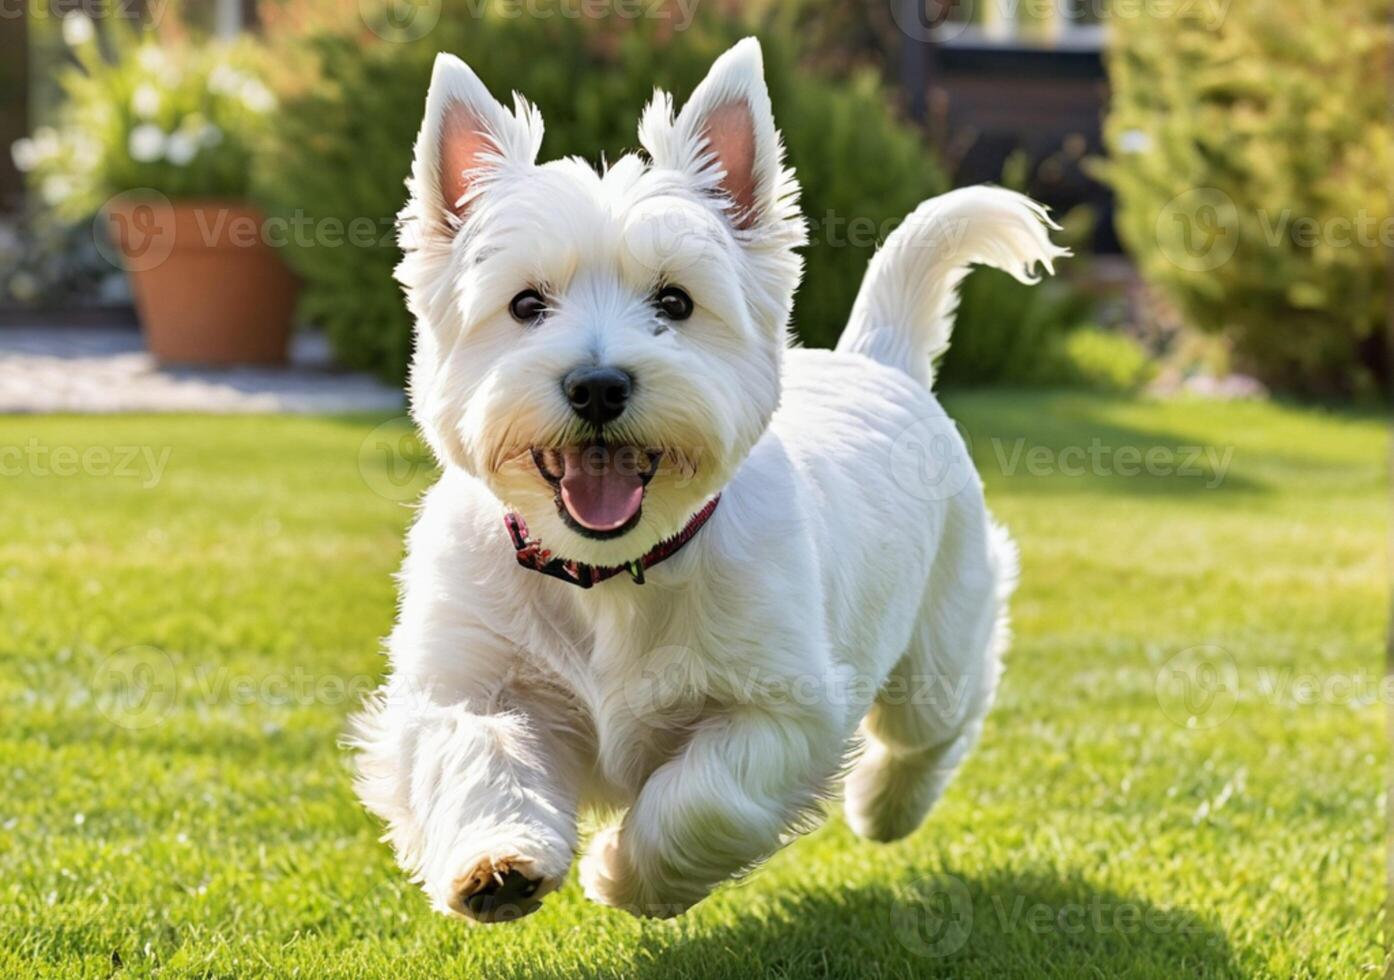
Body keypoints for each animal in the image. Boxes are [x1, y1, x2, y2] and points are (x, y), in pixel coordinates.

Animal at [351, 38, 1065, 925]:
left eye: (674, 301)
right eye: (525, 304)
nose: (597, 386)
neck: (608, 575)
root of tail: (879, 359)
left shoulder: (783, 706)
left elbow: (703, 795)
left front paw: (628, 874)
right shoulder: (464, 679)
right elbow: (478, 751)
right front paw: (498, 864)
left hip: (941, 635)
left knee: (932, 727)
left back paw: (885, 805)